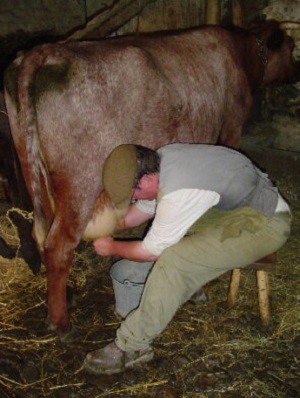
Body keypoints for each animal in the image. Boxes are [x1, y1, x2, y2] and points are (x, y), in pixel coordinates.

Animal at [4, 20, 298, 338]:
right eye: (291, 46)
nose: (295, 73)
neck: (241, 52)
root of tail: (44, 51)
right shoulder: (231, 127)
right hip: (81, 184)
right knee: (59, 246)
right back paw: (60, 323)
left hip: (34, 176)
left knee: (40, 233)